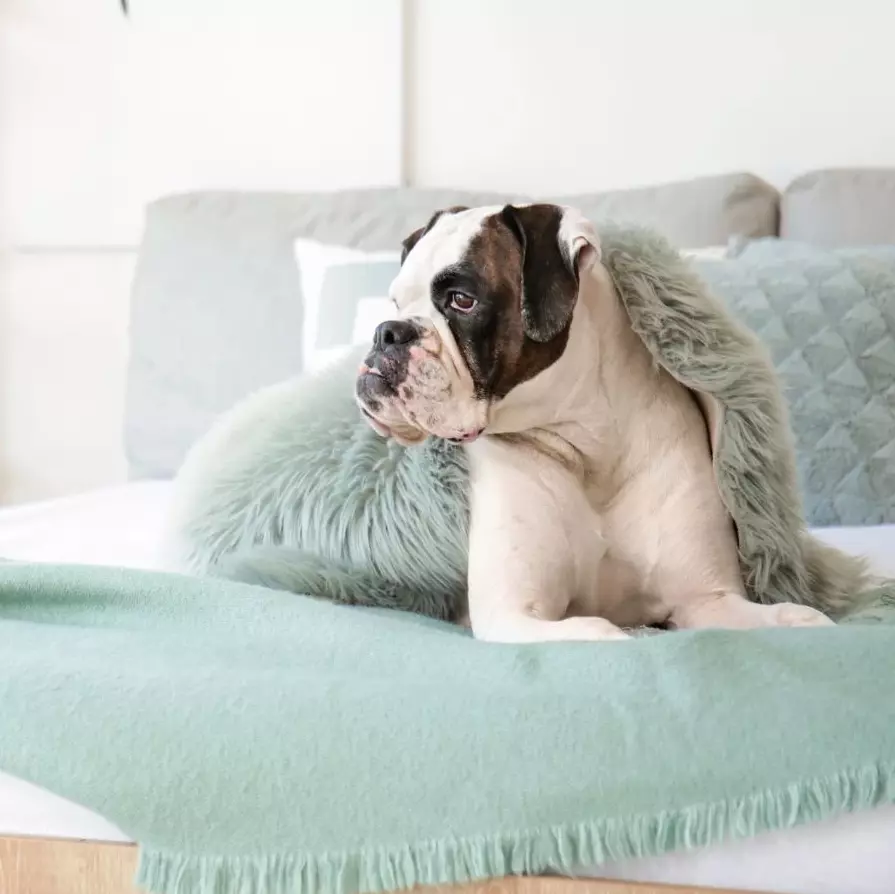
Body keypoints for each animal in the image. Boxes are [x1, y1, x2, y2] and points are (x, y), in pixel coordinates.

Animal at [354, 205, 836, 644]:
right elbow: (604, 632)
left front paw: (807, 620)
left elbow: (785, 617)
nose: (386, 332)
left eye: (462, 300)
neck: (589, 448)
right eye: (396, 302)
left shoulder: (708, 599)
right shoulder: (516, 613)